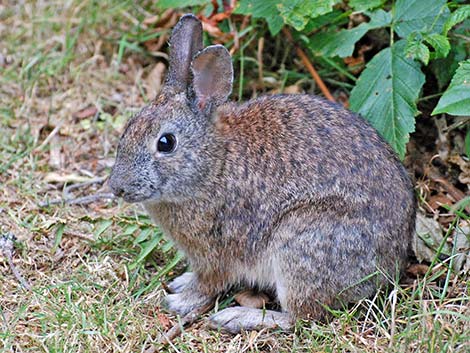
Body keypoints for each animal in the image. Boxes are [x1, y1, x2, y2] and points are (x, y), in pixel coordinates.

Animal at [109, 14, 414, 332]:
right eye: (129, 127)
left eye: (166, 143)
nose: (117, 187)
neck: (214, 163)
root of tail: (391, 266)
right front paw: (182, 283)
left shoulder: (215, 253)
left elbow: (209, 284)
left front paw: (181, 301)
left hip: (301, 246)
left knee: (301, 317)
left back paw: (237, 317)